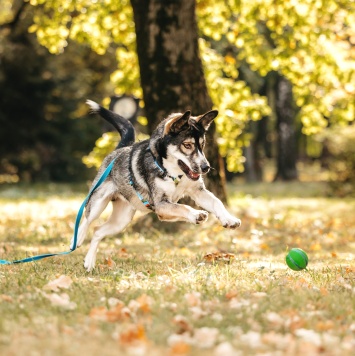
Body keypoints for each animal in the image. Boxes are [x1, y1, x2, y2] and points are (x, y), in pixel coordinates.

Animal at [76, 101, 241, 272]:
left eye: (202, 145)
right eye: (187, 145)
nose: (206, 167)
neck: (174, 173)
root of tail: (119, 150)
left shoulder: (197, 191)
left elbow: (217, 202)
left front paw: (229, 219)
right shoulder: (161, 204)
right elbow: (183, 207)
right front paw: (196, 214)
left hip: (122, 219)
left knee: (97, 231)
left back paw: (89, 262)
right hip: (98, 200)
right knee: (88, 218)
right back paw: (78, 238)